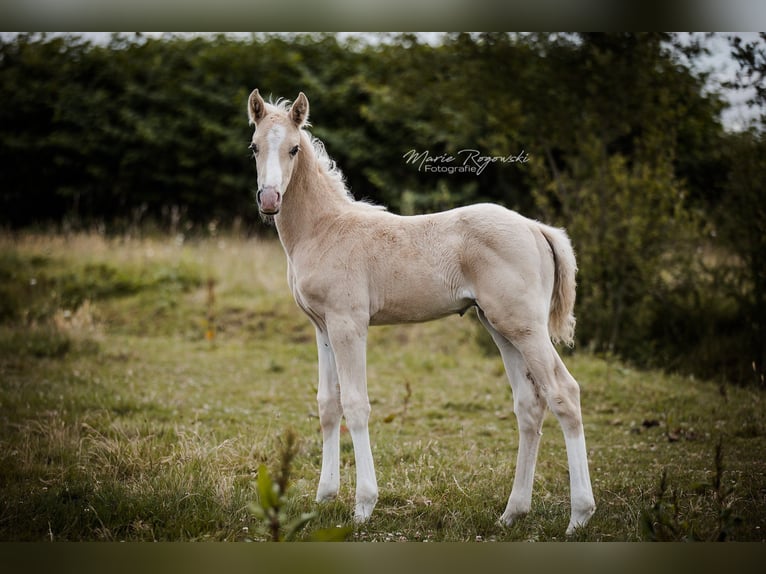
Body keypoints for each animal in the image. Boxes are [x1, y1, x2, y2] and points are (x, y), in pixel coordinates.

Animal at [249, 89, 596, 536]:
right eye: (254, 147)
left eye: (293, 148)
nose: (270, 200)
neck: (324, 228)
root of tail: (537, 227)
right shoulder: (322, 327)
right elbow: (328, 404)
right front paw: (324, 496)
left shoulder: (349, 323)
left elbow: (356, 405)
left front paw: (363, 505)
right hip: (499, 327)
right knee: (529, 405)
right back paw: (512, 513)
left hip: (525, 327)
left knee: (563, 393)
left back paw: (579, 516)